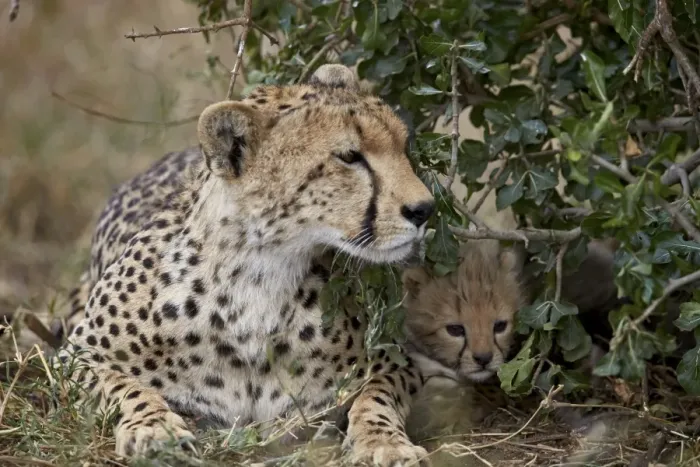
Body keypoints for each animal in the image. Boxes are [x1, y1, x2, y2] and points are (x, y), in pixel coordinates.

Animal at [52, 64, 439, 466]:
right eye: (349, 156)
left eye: (402, 146)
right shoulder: (77, 357)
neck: (259, 275)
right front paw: (156, 431)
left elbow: (376, 397)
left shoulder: (394, 362)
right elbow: (126, 387)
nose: (425, 208)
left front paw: (385, 443)